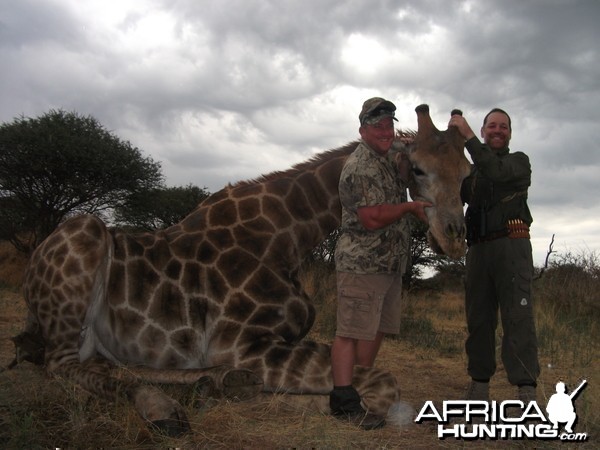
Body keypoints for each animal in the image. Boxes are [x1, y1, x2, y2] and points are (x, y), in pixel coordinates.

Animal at [16, 103, 468, 434]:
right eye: (419, 169)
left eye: (467, 173)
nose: (454, 238)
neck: (287, 238)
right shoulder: (239, 343)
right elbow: (381, 384)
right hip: (84, 235)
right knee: (62, 366)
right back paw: (169, 407)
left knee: (110, 365)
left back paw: (210, 385)